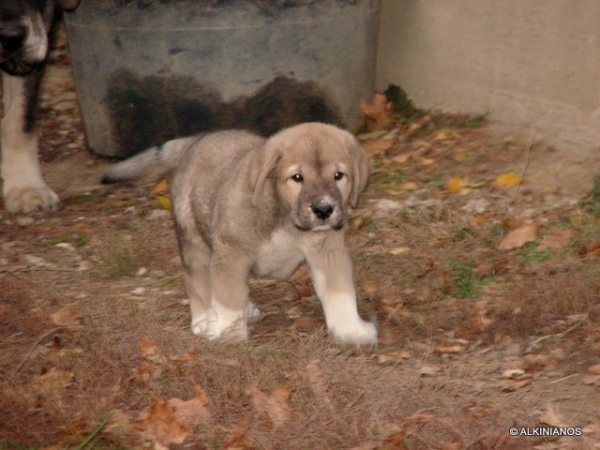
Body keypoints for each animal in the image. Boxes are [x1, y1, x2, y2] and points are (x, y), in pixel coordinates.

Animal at [101, 123, 378, 348]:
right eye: (297, 178)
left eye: (339, 176)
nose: (323, 210)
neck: (285, 219)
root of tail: (200, 138)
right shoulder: (231, 252)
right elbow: (228, 296)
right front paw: (228, 333)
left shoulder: (328, 250)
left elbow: (340, 292)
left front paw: (350, 330)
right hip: (194, 240)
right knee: (199, 281)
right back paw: (204, 319)